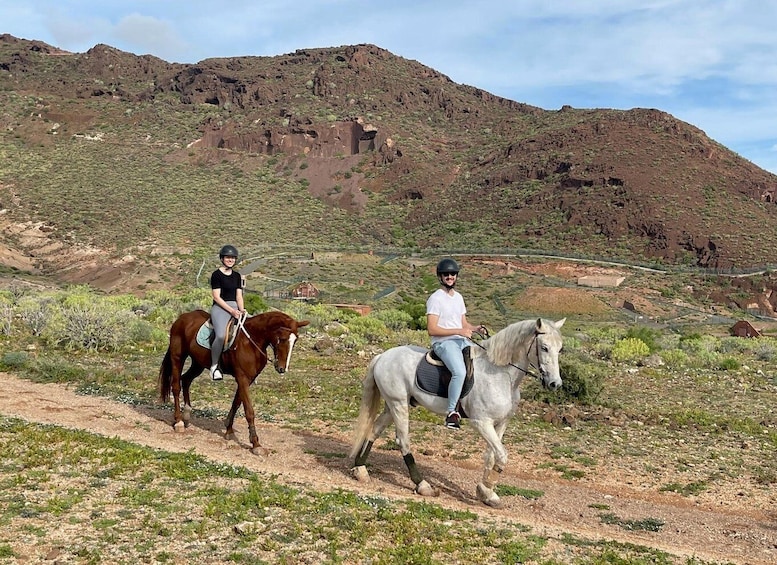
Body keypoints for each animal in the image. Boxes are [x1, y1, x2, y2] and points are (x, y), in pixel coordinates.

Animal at [158, 308, 310, 454]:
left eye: (295, 341)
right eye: (282, 339)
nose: (282, 369)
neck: (252, 340)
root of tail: (181, 318)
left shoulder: (247, 379)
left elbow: (237, 403)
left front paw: (229, 430)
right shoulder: (242, 378)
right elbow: (249, 410)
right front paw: (256, 444)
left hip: (198, 363)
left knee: (186, 380)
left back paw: (187, 414)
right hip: (178, 358)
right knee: (176, 386)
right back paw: (178, 422)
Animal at [350, 318, 564, 506]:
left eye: (560, 349)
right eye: (544, 347)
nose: (555, 384)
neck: (501, 374)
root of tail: (383, 356)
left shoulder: (501, 423)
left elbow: (492, 455)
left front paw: (487, 493)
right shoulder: (482, 422)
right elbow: (502, 455)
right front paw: (486, 489)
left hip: (392, 405)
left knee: (374, 430)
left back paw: (360, 470)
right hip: (399, 404)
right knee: (403, 441)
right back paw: (423, 485)